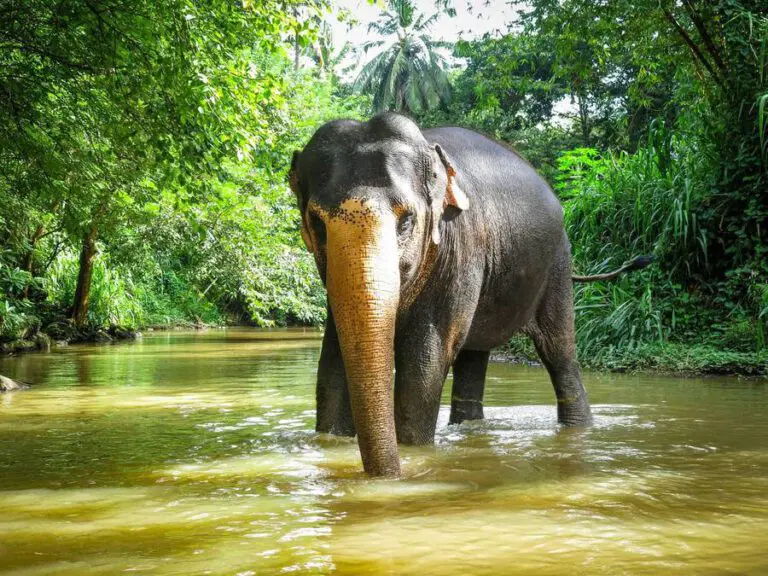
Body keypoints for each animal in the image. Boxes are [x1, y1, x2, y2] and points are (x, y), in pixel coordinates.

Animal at [289, 113, 650, 477]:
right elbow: (332, 359)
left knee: (558, 353)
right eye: (316, 223)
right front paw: (331, 444)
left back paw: (577, 426)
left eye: (406, 221)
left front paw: (415, 451)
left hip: (558, 262)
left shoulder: (460, 247)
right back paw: (470, 429)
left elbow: (427, 356)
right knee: (475, 354)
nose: (388, 477)